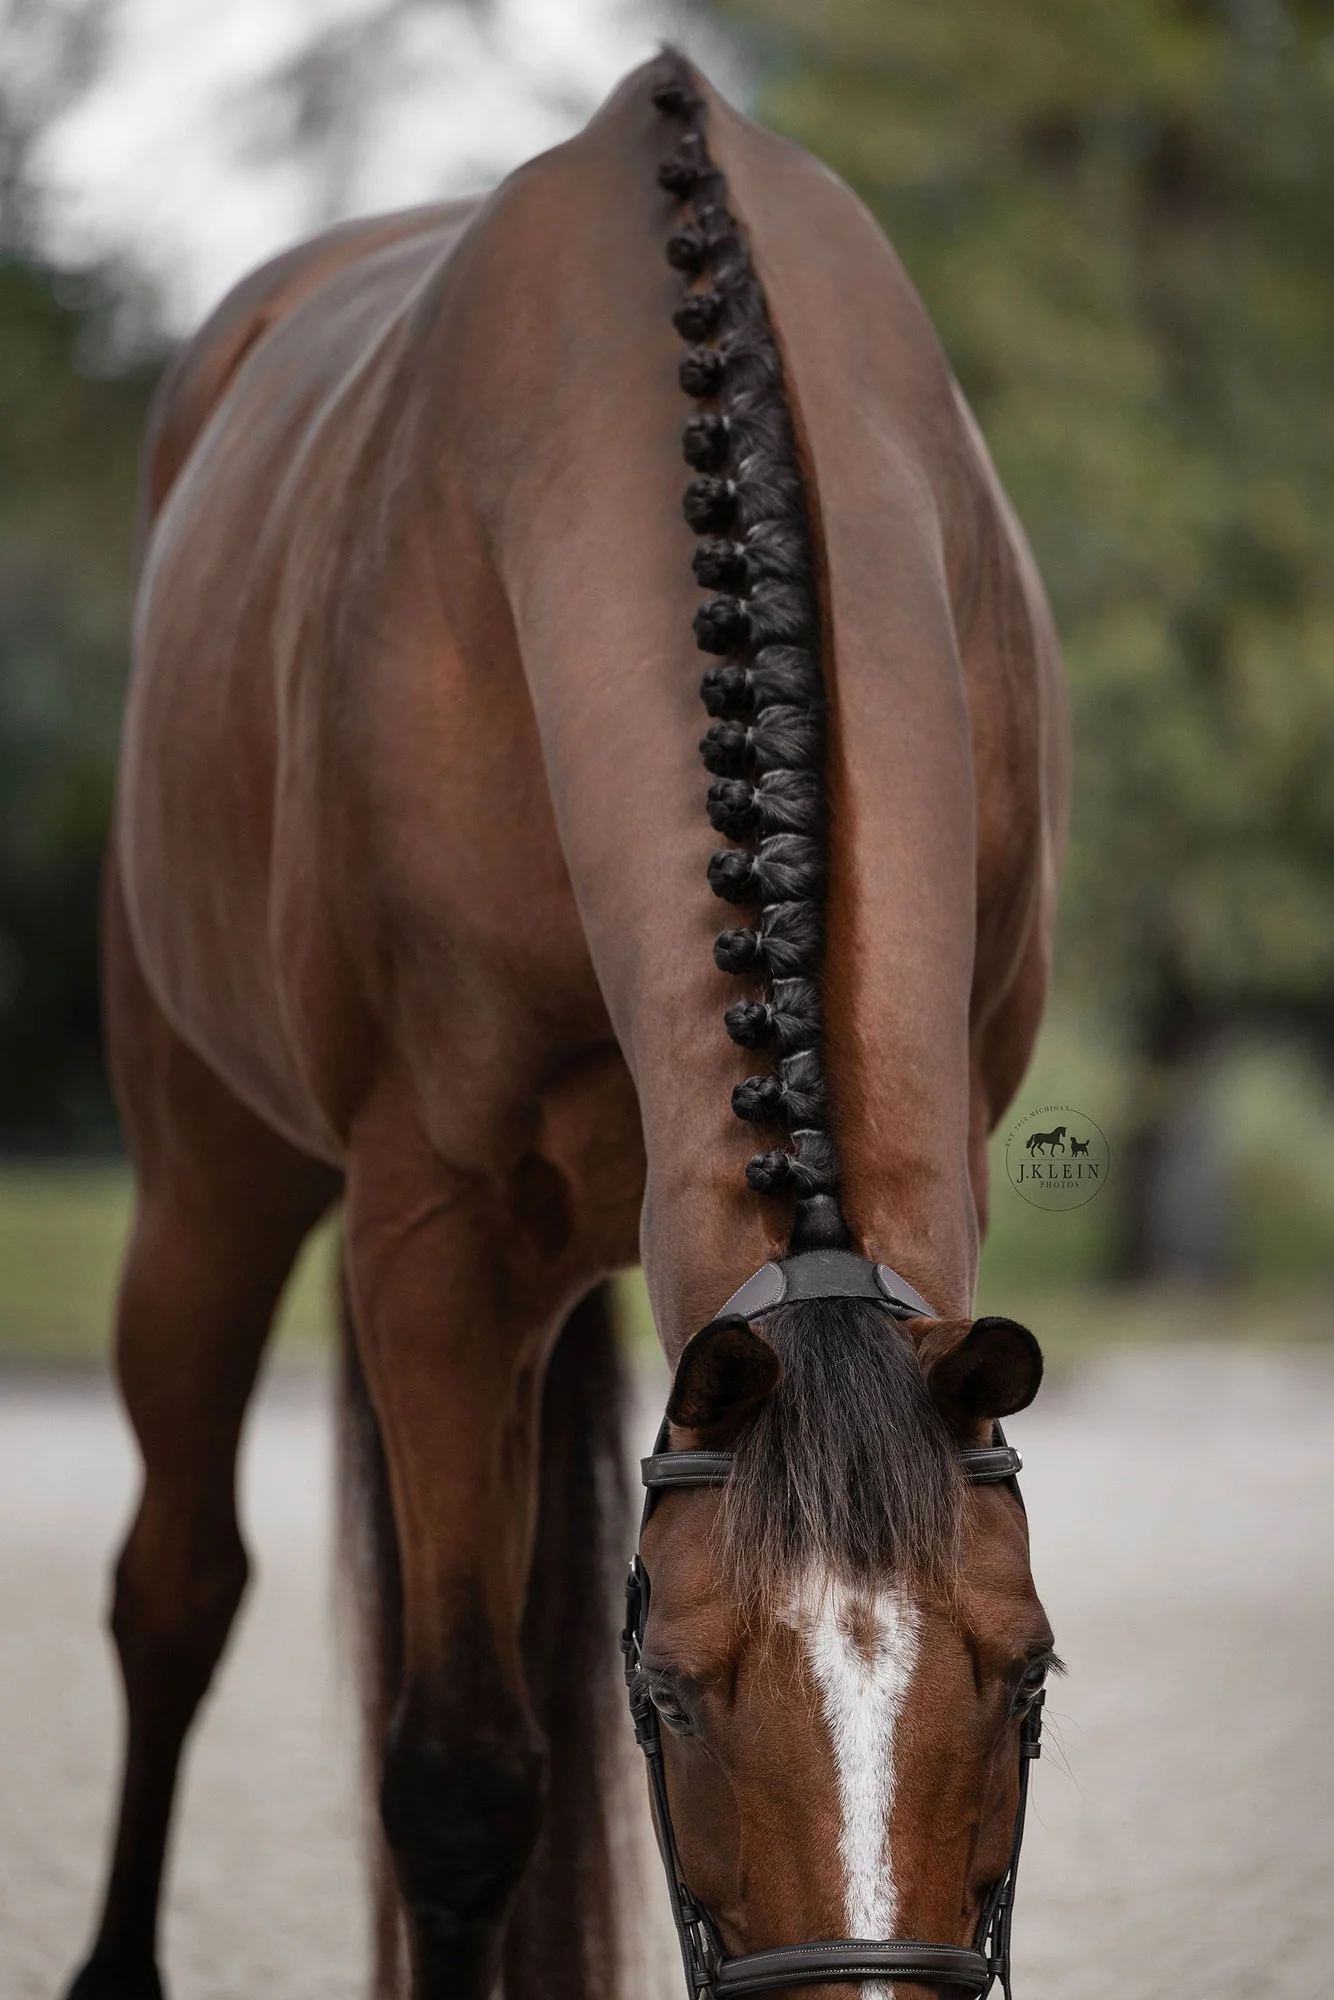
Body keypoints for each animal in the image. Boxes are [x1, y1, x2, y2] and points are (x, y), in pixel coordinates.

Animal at [66, 50, 1067, 2000]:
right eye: (672, 1696)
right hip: (208, 1173)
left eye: (1025, 1676)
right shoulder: (431, 1239)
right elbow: (460, 1780)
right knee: (176, 1587)